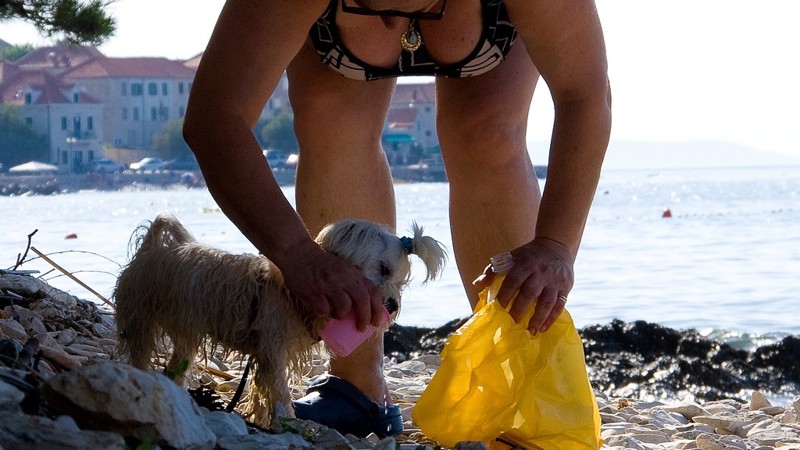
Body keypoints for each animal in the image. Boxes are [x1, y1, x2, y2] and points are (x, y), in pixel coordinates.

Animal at [115, 213, 446, 428]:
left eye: (402, 281)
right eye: (384, 269)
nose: (392, 305)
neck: (294, 293)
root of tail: (151, 249)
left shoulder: (269, 354)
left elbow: (265, 390)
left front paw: (264, 418)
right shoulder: (272, 349)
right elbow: (278, 388)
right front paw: (287, 419)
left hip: (184, 334)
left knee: (177, 364)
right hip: (141, 319)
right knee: (140, 353)